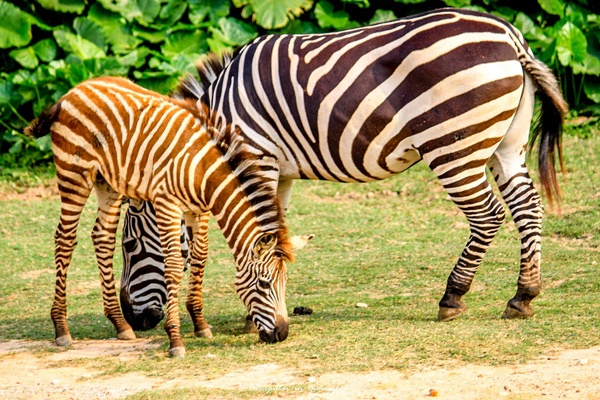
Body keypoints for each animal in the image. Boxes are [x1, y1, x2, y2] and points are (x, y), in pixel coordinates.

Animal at [25, 77, 312, 356]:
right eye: (264, 284)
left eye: (286, 283)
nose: (282, 334)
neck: (204, 171)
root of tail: (71, 92)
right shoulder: (167, 205)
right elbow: (173, 265)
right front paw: (175, 340)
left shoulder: (199, 209)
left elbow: (200, 256)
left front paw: (200, 324)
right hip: (73, 174)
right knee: (65, 239)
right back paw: (61, 328)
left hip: (107, 181)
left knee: (103, 237)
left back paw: (120, 324)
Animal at [122, 8, 568, 334]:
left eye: (128, 245)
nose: (134, 320)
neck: (222, 118)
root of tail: (510, 35)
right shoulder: (278, 170)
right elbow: (274, 232)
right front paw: (267, 307)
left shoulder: (257, 156)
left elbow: (256, 235)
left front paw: (255, 316)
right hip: (505, 142)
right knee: (528, 207)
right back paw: (524, 295)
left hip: (453, 144)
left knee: (487, 215)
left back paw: (453, 296)